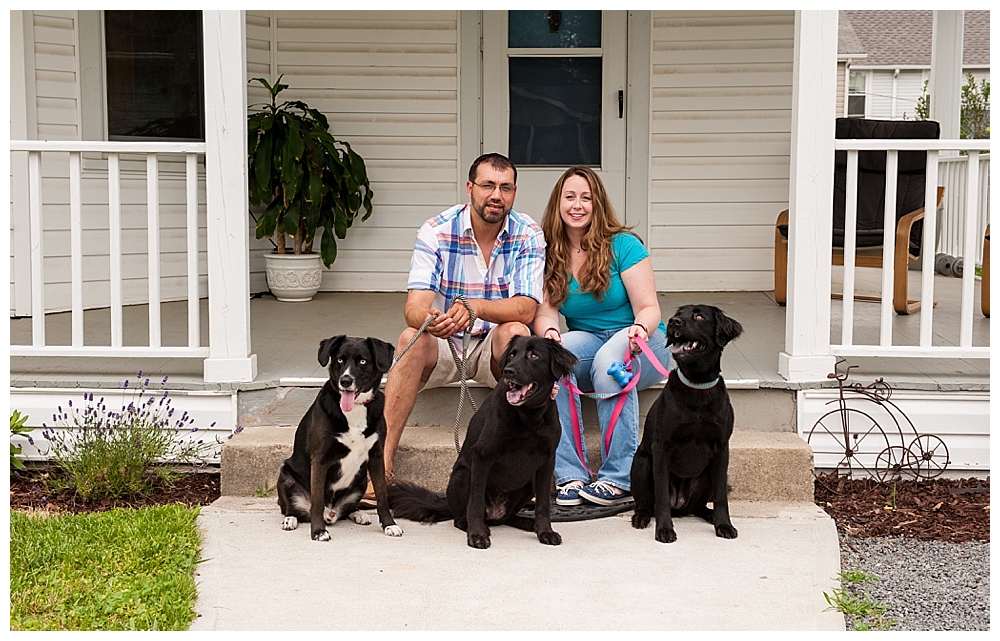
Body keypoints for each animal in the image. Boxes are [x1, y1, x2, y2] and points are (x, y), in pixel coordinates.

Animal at [278, 336, 402, 540]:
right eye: (340, 360)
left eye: (362, 361)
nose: (345, 380)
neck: (356, 408)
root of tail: (331, 513)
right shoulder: (320, 459)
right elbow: (317, 501)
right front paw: (318, 531)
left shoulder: (376, 456)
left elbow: (382, 496)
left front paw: (389, 524)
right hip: (285, 475)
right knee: (292, 508)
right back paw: (290, 519)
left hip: (361, 481)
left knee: (349, 508)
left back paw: (358, 514)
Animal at [390, 332, 580, 548]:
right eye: (512, 354)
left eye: (534, 356)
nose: (507, 371)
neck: (528, 414)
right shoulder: (482, 455)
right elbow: (476, 501)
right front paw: (477, 534)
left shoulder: (547, 461)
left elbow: (543, 504)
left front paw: (545, 531)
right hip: (464, 474)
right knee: (461, 518)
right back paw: (477, 526)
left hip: (529, 481)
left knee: (506, 518)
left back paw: (527, 523)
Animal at [632, 304, 744, 540]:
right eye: (679, 314)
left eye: (699, 316)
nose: (673, 321)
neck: (697, 385)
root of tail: (680, 506)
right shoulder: (661, 447)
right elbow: (662, 496)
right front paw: (664, 529)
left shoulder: (722, 448)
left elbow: (721, 496)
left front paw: (724, 524)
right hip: (642, 463)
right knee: (645, 503)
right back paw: (641, 517)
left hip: (709, 473)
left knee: (699, 506)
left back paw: (710, 515)